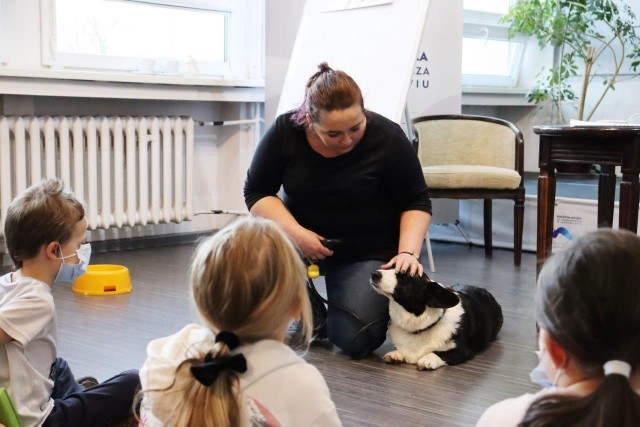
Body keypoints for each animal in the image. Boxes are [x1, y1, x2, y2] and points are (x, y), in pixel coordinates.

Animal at [372, 270, 502, 372]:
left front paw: (427, 360)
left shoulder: (463, 351)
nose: (374, 274)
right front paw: (395, 354)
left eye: (404, 276)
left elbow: (440, 353)